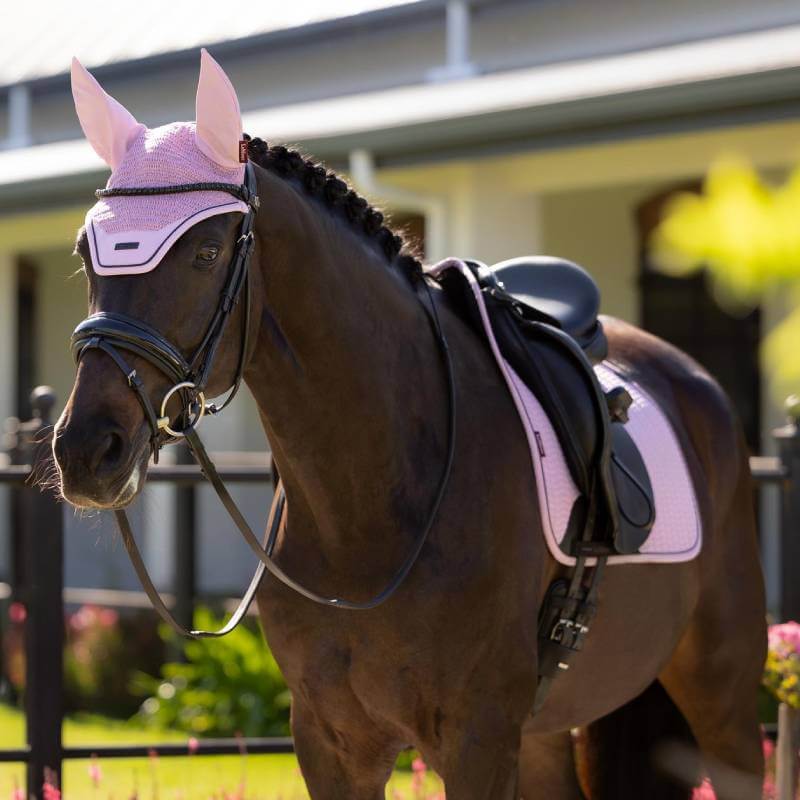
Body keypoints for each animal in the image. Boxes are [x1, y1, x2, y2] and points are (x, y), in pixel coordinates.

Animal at [53, 51, 766, 799]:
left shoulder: (477, 739)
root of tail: (693, 381)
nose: (87, 451)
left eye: (207, 251)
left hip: (723, 697)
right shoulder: (332, 742)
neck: (372, 506)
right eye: (84, 251)